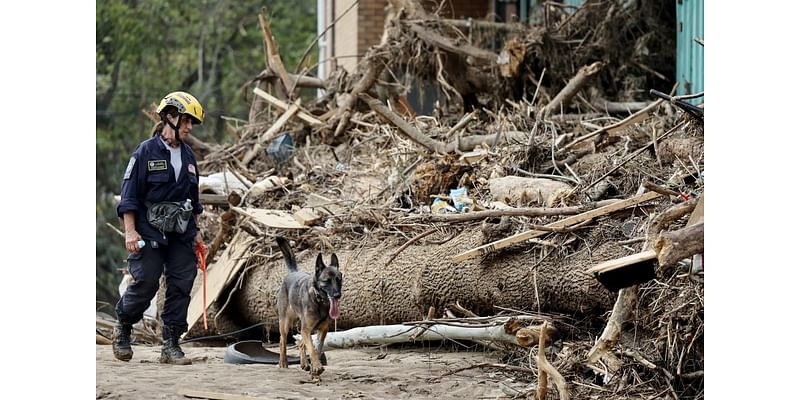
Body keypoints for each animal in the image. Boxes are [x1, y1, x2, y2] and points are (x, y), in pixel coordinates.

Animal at [276, 236, 340, 376]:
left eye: (339, 280)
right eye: (327, 281)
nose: (337, 295)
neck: (319, 301)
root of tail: (293, 272)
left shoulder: (322, 330)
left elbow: (317, 347)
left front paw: (314, 366)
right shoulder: (306, 329)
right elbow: (312, 348)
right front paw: (317, 367)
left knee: (301, 343)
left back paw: (304, 363)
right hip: (285, 323)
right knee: (282, 341)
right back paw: (283, 363)